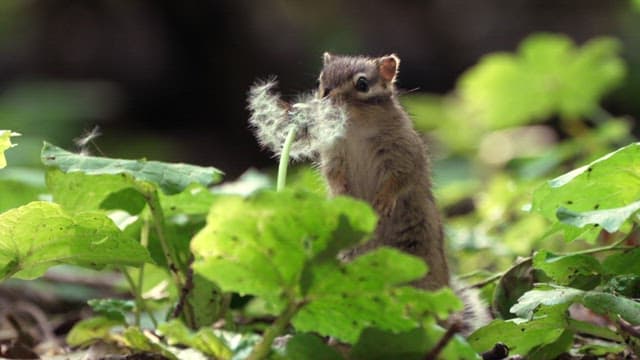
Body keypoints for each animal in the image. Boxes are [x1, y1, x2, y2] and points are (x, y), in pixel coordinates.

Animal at [316, 52, 490, 332]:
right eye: (321, 82)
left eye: (362, 84)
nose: (327, 99)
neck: (355, 130)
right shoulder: (333, 155)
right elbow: (334, 177)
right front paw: (342, 196)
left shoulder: (403, 153)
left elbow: (399, 179)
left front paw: (384, 200)